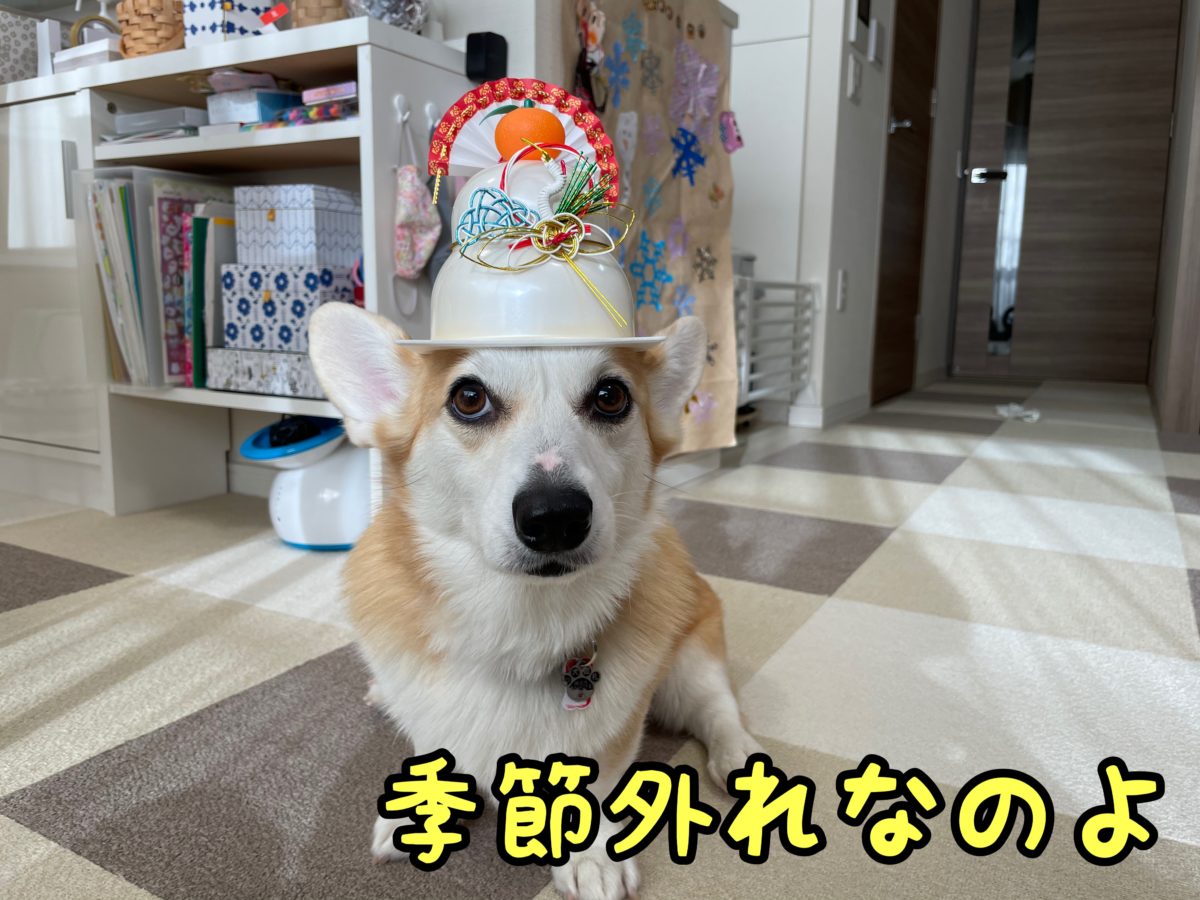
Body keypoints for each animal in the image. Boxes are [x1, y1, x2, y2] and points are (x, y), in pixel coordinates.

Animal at [309, 303, 761, 899]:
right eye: (469, 398)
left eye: (610, 396)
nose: (555, 517)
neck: (516, 618)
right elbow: (433, 742)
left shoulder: (613, 729)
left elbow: (597, 777)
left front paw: (591, 856)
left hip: (691, 660)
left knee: (718, 707)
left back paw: (741, 760)